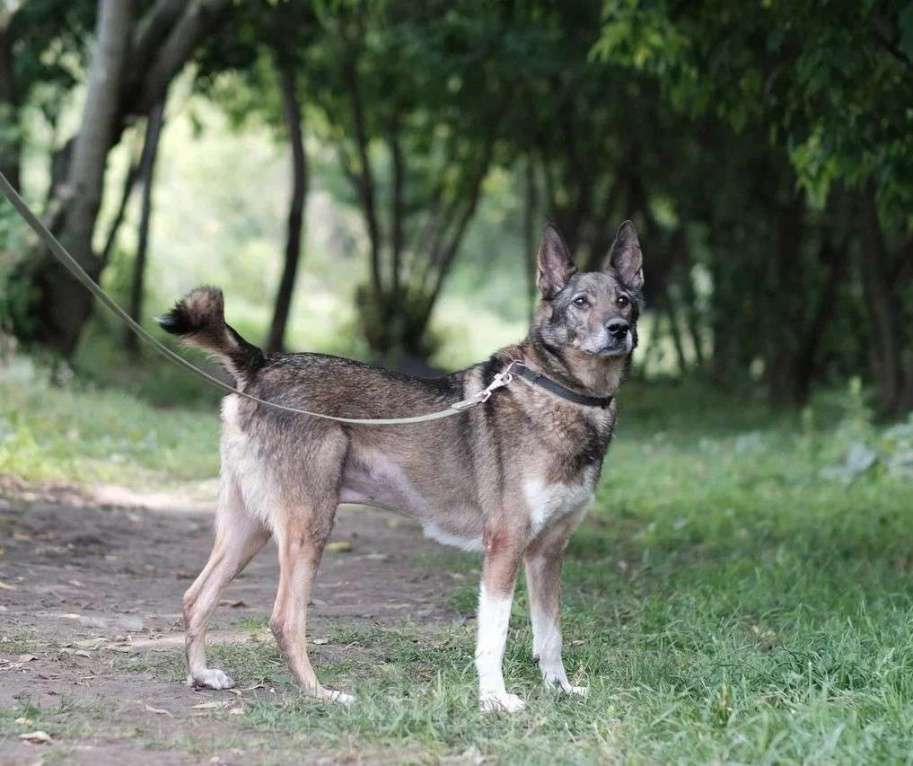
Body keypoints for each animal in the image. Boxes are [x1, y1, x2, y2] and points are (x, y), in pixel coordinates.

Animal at [162, 220, 648, 712]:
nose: (619, 329)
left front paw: (560, 689)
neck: (562, 392)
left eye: (624, 300)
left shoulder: (547, 552)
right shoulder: (505, 546)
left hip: (249, 528)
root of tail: (262, 362)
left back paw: (202, 675)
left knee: (195, 597)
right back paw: (323, 694)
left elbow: (550, 635)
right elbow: (494, 637)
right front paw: (494, 699)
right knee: (283, 620)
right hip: (307, 529)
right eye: (581, 302)